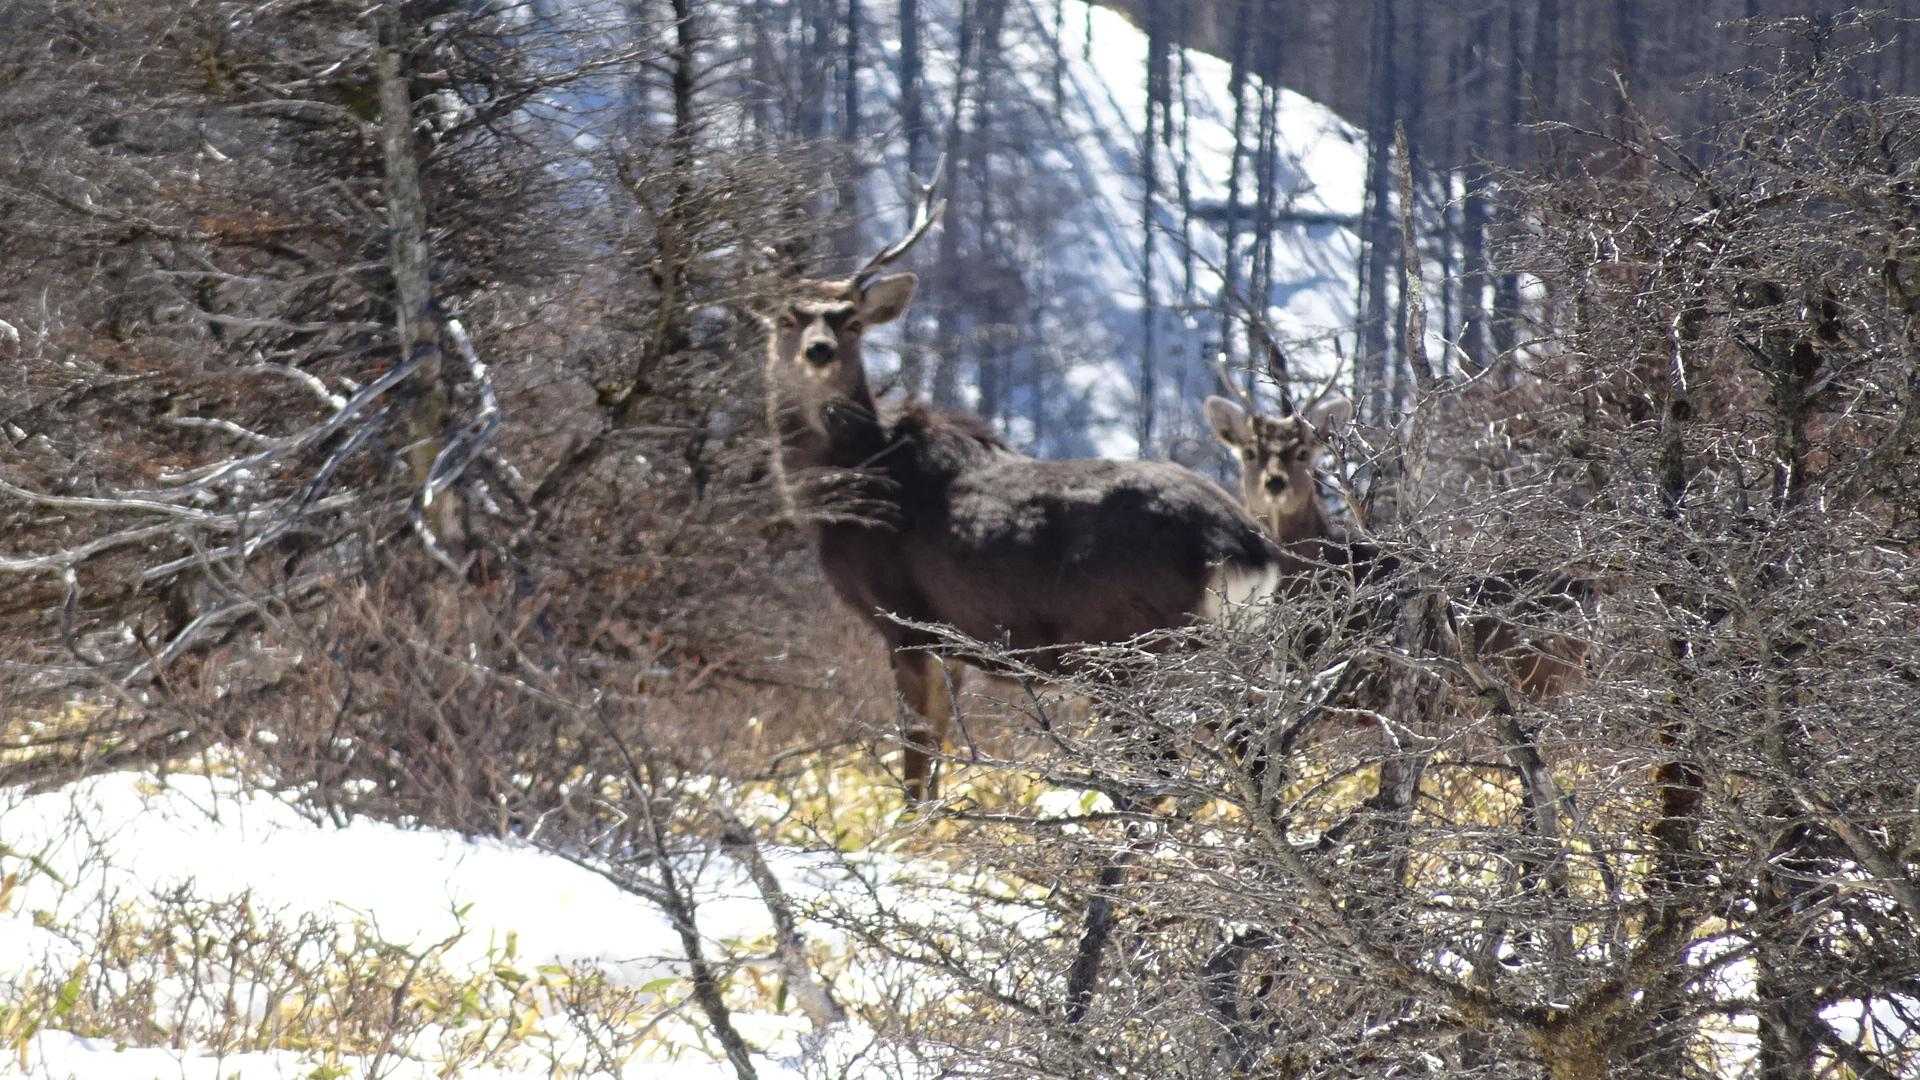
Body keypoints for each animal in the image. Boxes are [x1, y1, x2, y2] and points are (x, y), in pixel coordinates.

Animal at [763, 177, 1297, 802]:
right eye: (786, 317)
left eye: (850, 322)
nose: (818, 350)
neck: (857, 483)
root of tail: (1243, 546)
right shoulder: (955, 642)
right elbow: (940, 750)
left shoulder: (903, 620)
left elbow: (917, 761)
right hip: (1226, 646)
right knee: (1259, 754)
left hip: (1128, 649)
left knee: (1166, 769)